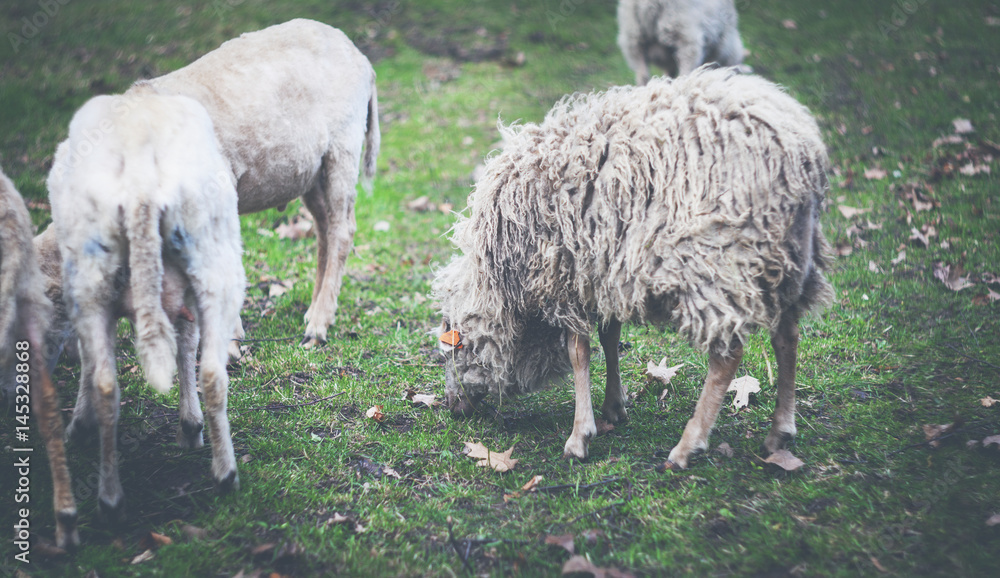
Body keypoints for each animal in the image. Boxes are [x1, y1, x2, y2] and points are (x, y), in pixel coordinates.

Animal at [47, 86, 248, 536]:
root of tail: (140, 180)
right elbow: (186, 342)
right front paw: (190, 426)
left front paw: (79, 425)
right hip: (211, 262)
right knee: (207, 373)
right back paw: (221, 476)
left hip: (92, 278)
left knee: (105, 379)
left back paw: (112, 499)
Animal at [135, 19, 376, 346]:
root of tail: (361, 58)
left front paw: (229, 340)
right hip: (311, 172)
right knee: (324, 228)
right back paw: (312, 310)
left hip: (344, 143)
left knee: (342, 230)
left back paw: (318, 325)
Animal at [434, 66, 832, 468]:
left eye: (452, 345)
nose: (452, 407)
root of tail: (800, 152)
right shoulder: (604, 270)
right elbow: (610, 336)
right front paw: (614, 405)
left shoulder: (567, 277)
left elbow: (579, 353)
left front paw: (580, 435)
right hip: (788, 262)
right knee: (787, 337)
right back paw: (780, 432)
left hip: (718, 263)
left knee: (727, 357)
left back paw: (688, 445)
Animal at [616, 0, 752, 85]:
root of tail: (649, 5)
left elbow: (668, 73)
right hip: (685, 35)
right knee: (684, 74)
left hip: (633, 36)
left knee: (642, 75)